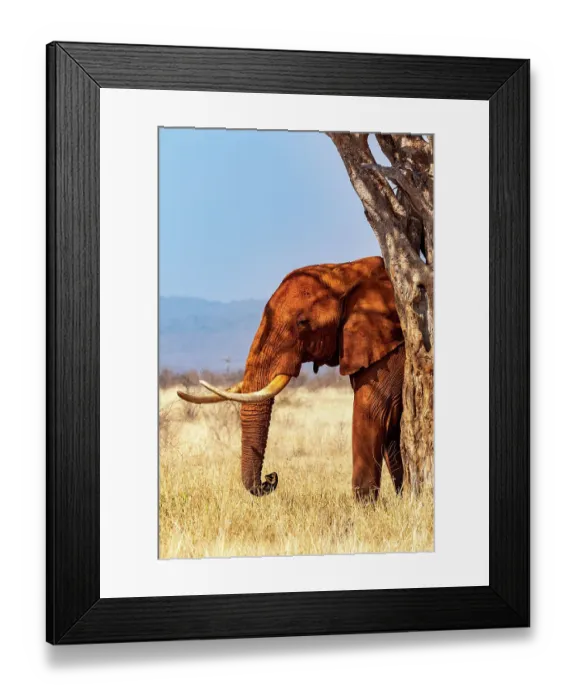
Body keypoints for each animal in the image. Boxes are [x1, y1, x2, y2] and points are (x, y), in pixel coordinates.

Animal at [178, 256, 405, 501]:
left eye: (303, 323)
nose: (270, 478)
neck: (346, 270)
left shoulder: (392, 349)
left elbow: (374, 410)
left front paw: (365, 506)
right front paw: (405, 498)